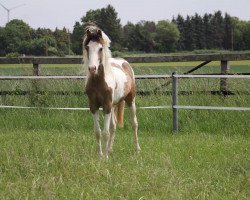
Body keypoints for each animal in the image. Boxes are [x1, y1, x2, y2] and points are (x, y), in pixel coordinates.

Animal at [83, 25, 141, 159]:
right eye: (87, 47)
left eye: (100, 48)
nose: (92, 68)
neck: (98, 82)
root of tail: (124, 62)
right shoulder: (93, 106)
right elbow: (98, 132)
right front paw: (100, 155)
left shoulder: (107, 106)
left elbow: (105, 132)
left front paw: (105, 158)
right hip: (115, 104)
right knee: (113, 126)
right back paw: (109, 150)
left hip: (130, 100)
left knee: (134, 123)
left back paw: (137, 149)